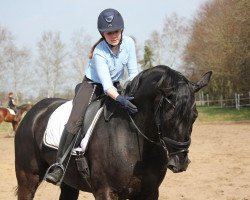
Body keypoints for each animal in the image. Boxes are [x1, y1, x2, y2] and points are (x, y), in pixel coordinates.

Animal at [14, 65, 212, 198]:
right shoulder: (106, 191)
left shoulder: (149, 192)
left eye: (194, 116)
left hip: (69, 182)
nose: (180, 162)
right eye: (169, 116)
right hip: (28, 178)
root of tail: (33, 111)